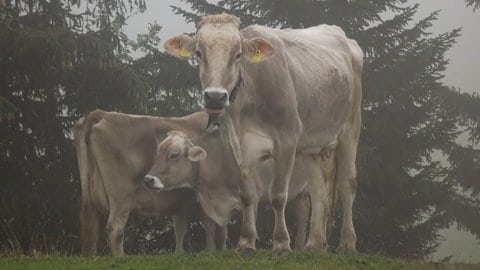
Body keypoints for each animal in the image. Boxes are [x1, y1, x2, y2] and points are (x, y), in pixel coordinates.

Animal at [74, 109, 221, 255]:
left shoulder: (179, 203)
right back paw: (120, 257)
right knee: (115, 229)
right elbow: (210, 226)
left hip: (91, 198)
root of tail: (103, 114)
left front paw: (179, 254)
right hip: (121, 194)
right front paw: (212, 252)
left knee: (90, 227)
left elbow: (180, 228)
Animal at [142, 129, 338, 251]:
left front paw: (248, 245)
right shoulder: (208, 201)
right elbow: (213, 229)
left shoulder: (253, 192)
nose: (148, 179)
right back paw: (298, 247)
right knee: (303, 212)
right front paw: (213, 251)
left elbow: (249, 219)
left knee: (322, 207)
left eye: (174, 155)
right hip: (301, 191)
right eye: (157, 154)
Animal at [163, 12, 362, 253]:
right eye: (199, 53)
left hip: (350, 127)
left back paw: (347, 243)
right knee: (319, 190)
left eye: (238, 54)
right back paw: (314, 244)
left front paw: (282, 243)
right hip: (310, 145)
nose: (215, 97)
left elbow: (278, 195)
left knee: (347, 184)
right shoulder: (236, 144)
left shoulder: (287, 139)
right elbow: (248, 195)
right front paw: (246, 242)